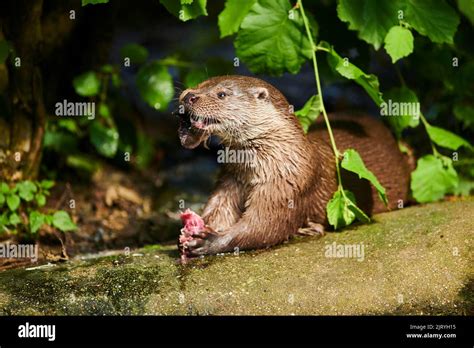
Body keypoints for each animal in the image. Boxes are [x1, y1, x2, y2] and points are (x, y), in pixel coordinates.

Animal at [176, 75, 412, 256]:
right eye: (200, 83)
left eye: (222, 94)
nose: (188, 96)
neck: (280, 156)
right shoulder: (231, 179)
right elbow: (219, 209)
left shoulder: (288, 184)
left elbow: (263, 226)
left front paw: (209, 240)